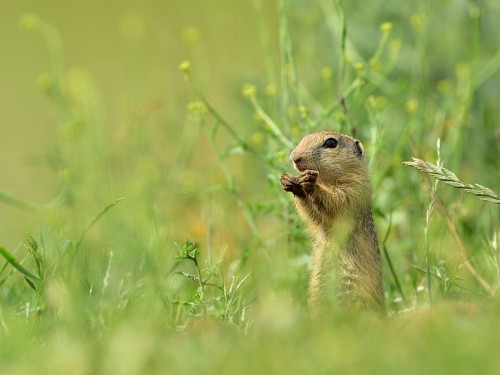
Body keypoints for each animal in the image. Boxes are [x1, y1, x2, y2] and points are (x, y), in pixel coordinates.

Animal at [280, 131, 384, 314]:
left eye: (330, 142)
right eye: (303, 138)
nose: (294, 157)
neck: (328, 180)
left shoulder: (355, 190)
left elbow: (337, 201)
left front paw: (311, 183)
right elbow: (314, 215)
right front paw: (291, 183)